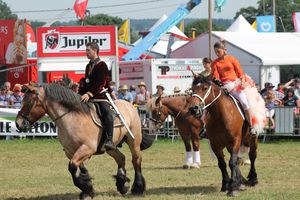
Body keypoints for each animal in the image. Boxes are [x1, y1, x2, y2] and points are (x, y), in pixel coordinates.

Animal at [15, 82, 154, 198]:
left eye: (30, 102)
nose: (18, 123)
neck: (72, 118)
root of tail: (129, 105)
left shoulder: (87, 149)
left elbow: (72, 167)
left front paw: (86, 189)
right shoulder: (71, 152)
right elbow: (79, 169)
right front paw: (88, 189)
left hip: (133, 141)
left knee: (136, 160)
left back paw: (138, 188)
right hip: (111, 147)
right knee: (121, 158)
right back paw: (122, 185)